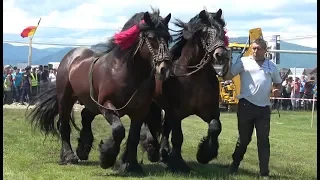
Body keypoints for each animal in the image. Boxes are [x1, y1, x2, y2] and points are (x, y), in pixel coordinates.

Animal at [27, 8, 172, 174]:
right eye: (151, 37)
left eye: (168, 38)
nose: (165, 68)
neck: (126, 72)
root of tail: (71, 56)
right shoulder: (106, 105)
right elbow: (118, 130)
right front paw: (106, 158)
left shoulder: (140, 111)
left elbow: (133, 137)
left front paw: (131, 165)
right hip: (66, 99)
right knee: (64, 125)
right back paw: (69, 156)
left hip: (90, 101)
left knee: (85, 117)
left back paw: (83, 149)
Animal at [140, 8, 230, 173]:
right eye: (206, 33)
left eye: (222, 31)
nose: (221, 54)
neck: (193, 76)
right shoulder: (177, 113)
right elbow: (178, 137)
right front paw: (179, 163)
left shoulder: (210, 111)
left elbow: (215, 127)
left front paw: (205, 154)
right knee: (151, 123)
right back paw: (153, 151)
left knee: (164, 128)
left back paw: (163, 155)